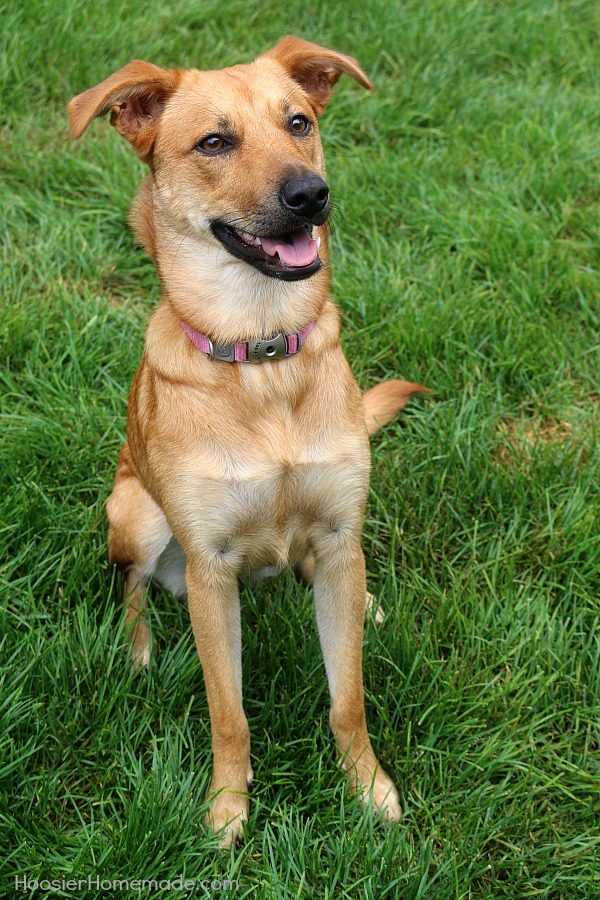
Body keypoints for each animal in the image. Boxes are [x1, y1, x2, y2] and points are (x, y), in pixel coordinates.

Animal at [69, 35, 426, 848]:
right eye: (214, 142)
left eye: (299, 122)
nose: (310, 194)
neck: (262, 356)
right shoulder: (210, 568)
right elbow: (227, 711)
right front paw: (228, 810)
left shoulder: (337, 534)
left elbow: (348, 699)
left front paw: (369, 788)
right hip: (135, 514)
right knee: (132, 589)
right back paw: (137, 652)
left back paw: (368, 605)